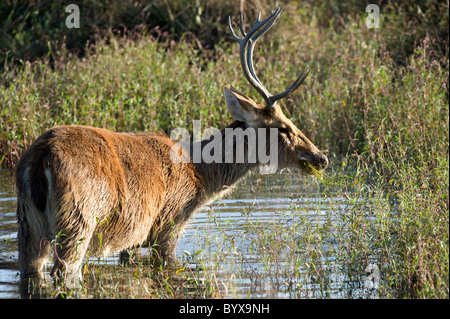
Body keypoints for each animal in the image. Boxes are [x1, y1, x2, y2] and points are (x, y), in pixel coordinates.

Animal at [15, 5, 328, 290]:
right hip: (78, 219)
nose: (321, 157)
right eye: (284, 127)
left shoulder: (133, 239)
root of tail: (40, 161)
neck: (199, 175)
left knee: (31, 267)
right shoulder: (168, 224)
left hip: (28, 224)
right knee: (63, 270)